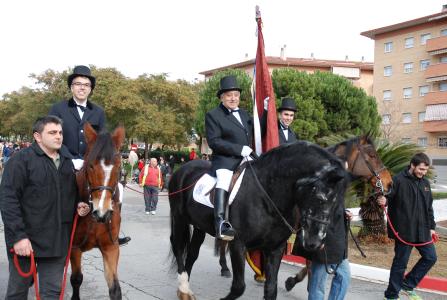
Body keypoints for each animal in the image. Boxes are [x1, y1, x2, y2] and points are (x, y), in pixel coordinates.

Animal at [70, 122, 126, 300]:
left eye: (118, 166)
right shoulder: (74, 248)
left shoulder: (111, 248)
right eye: (90, 165)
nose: (102, 213)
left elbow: (115, 289)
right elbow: (76, 279)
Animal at [170, 141, 348, 300]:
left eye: (338, 203)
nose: (316, 242)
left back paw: (184, 291)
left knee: (192, 253)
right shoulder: (238, 244)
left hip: (199, 226)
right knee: (177, 246)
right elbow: (238, 287)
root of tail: (183, 169)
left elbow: (271, 289)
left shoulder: (275, 248)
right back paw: (184, 288)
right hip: (179, 218)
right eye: (320, 198)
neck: (267, 195)